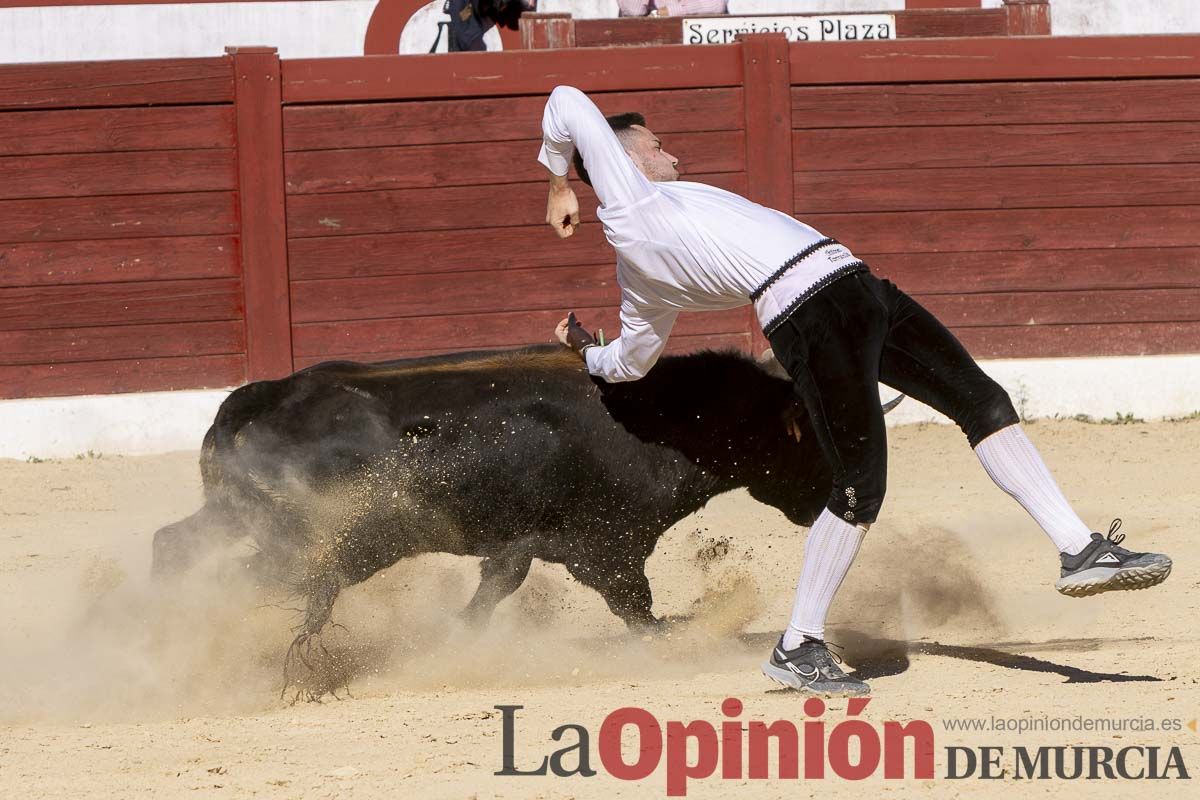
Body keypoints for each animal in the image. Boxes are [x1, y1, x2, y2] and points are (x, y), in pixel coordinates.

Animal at [152, 345, 844, 642]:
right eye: (812, 438)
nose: (829, 503)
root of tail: (269, 392)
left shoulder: (524, 541)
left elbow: (497, 585)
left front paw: (461, 633)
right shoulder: (607, 543)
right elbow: (636, 605)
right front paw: (674, 636)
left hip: (232, 515)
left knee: (175, 544)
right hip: (307, 541)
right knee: (250, 578)